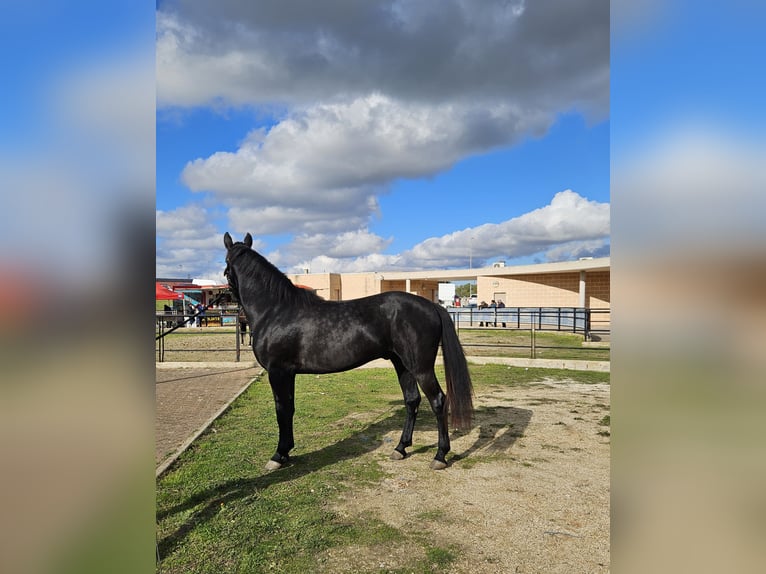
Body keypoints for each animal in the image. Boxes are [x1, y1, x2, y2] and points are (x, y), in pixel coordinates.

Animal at [222, 232, 474, 470]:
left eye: (225, 266)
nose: (226, 300)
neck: (276, 310)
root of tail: (432, 306)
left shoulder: (278, 372)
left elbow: (281, 410)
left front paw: (278, 455)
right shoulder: (286, 373)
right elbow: (289, 408)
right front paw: (285, 452)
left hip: (420, 367)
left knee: (438, 401)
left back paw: (440, 456)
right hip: (402, 364)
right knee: (412, 401)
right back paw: (400, 448)